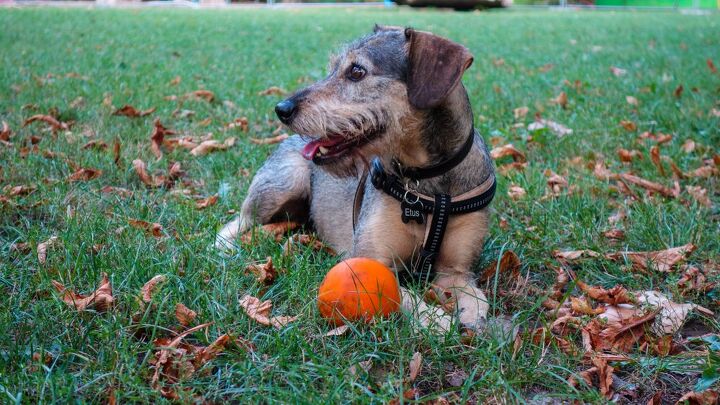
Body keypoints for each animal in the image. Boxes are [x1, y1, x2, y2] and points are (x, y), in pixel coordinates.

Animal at [217, 26, 498, 332]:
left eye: (356, 71)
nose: (282, 109)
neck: (426, 181)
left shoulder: (456, 270)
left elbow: (474, 295)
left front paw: (473, 316)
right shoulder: (371, 258)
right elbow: (402, 293)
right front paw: (436, 320)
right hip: (281, 184)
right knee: (238, 221)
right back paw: (225, 246)